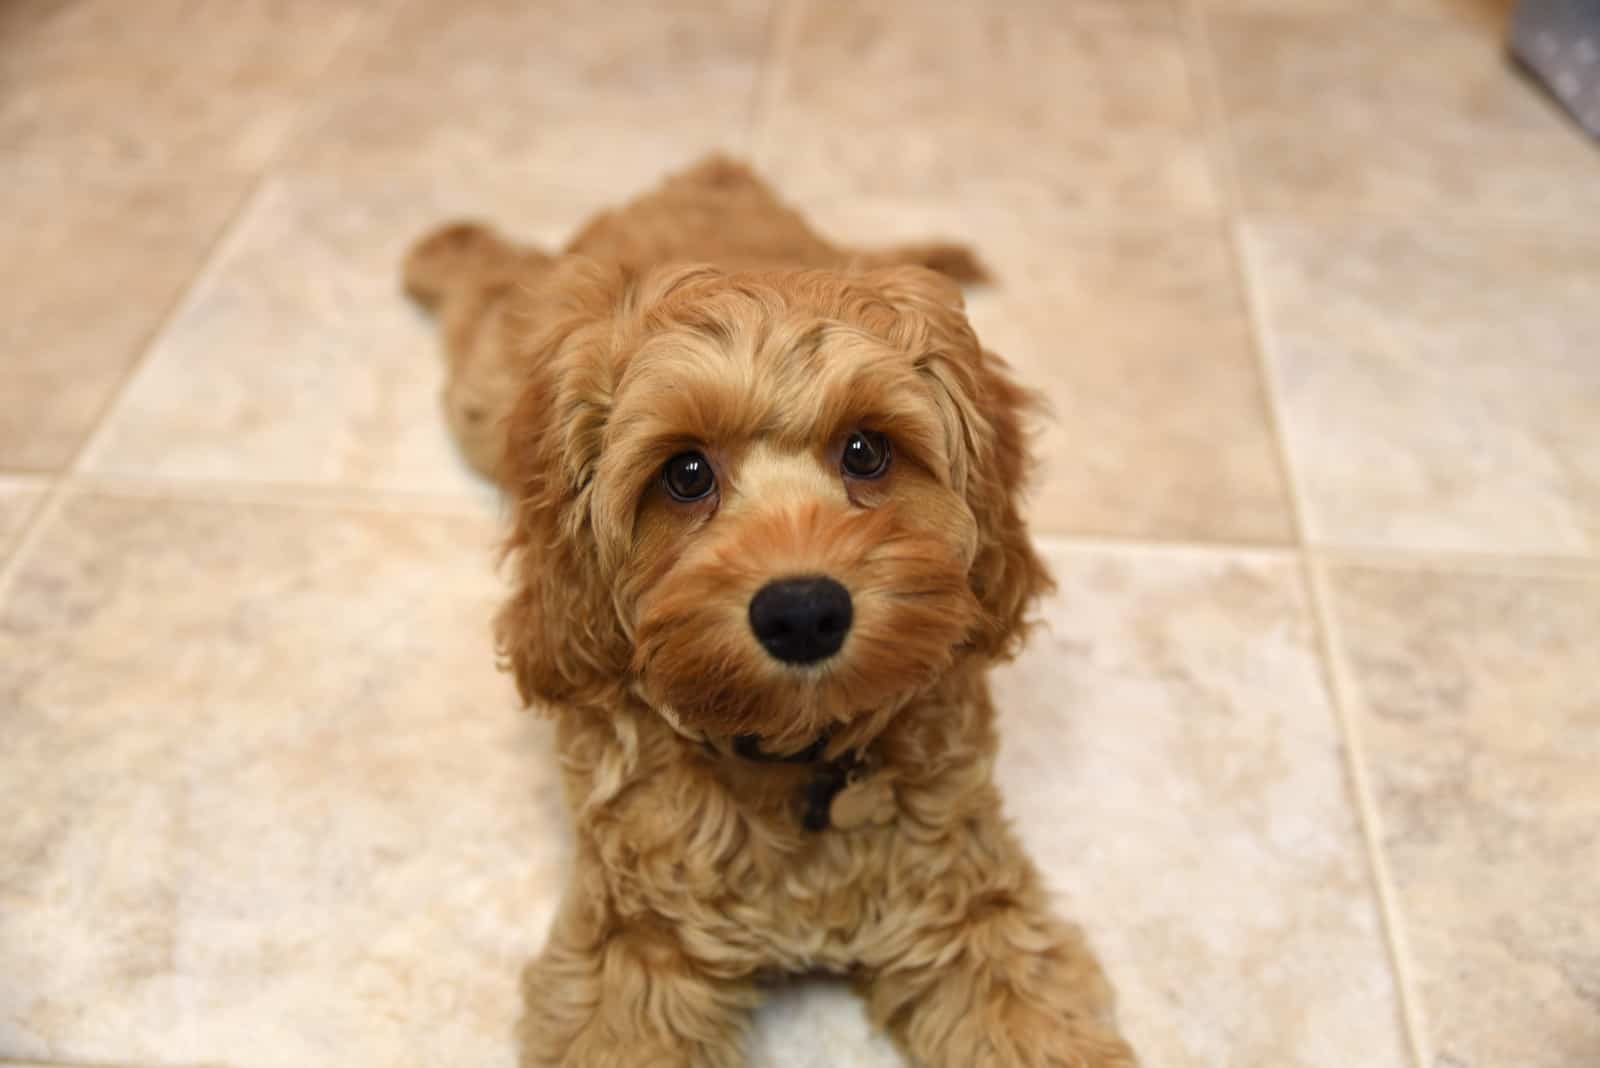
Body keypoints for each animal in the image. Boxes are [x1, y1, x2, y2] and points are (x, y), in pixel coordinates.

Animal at [412, 156, 1139, 1068]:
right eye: (685, 473)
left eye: (866, 450)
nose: (802, 615)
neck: (792, 761)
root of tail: (713, 173)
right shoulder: (632, 947)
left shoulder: (975, 910)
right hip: (489, 386)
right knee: (487, 280)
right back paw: (443, 248)